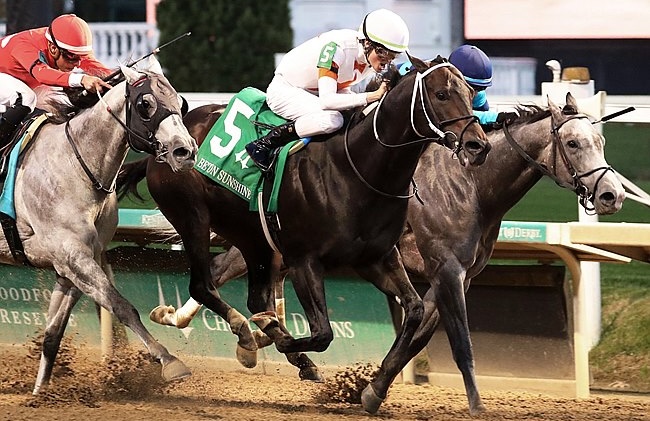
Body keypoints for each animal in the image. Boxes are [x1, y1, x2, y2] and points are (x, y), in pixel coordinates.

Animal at [0, 56, 197, 394]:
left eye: (180, 102)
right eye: (145, 104)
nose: (185, 151)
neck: (75, 166)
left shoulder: (75, 263)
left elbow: (53, 334)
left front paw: (40, 393)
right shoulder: (74, 257)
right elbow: (122, 306)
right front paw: (170, 361)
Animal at [117, 54, 486, 412]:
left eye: (471, 94)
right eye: (441, 94)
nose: (477, 145)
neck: (360, 169)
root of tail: (162, 145)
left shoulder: (376, 257)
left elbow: (416, 311)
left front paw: (370, 392)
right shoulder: (303, 260)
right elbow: (323, 333)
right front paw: (272, 339)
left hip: (253, 237)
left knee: (253, 297)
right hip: (193, 217)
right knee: (203, 285)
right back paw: (249, 337)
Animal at [143, 91, 624, 414]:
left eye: (602, 143)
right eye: (575, 144)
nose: (611, 195)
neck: (471, 185)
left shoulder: (452, 276)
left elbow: (418, 333)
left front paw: (372, 390)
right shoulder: (445, 271)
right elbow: (458, 341)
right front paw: (475, 404)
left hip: (265, 243)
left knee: (233, 279)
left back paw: (231, 331)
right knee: (218, 274)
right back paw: (216, 328)